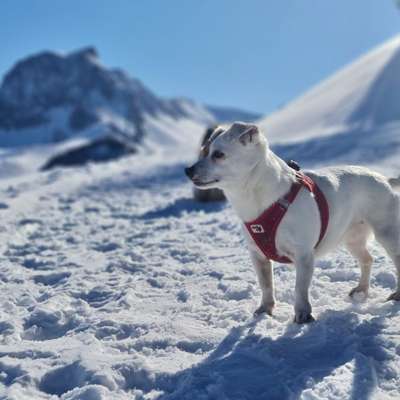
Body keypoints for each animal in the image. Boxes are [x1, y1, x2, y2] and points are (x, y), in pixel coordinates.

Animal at [186, 121, 400, 322]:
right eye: (204, 151)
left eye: (218, 154)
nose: (187, 170)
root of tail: (385, 179)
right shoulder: (257, 255)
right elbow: (266, 285)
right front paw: (265, 309)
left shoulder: (303, 254)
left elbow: (300, 288)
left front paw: (303, 314)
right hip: (352, 239)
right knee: (367, 259)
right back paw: (361, 290)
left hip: (387, 234)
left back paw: (396, 294)